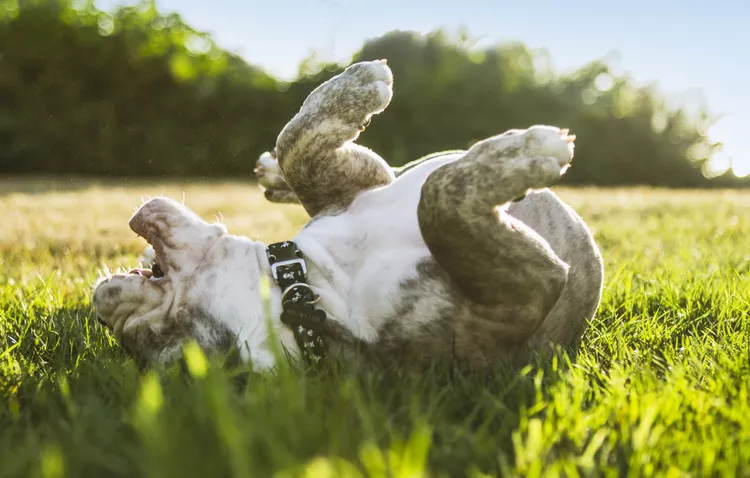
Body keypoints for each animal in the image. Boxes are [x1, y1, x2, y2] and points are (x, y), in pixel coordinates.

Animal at [92, 59, 604, 372]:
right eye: (148, 338)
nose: (100, 305)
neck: (304, 288)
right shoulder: (515, 298)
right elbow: (439, 202)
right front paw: (527, 155)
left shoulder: (351, 186)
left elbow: (297, 142)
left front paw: (353, 85)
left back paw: (273, 174)